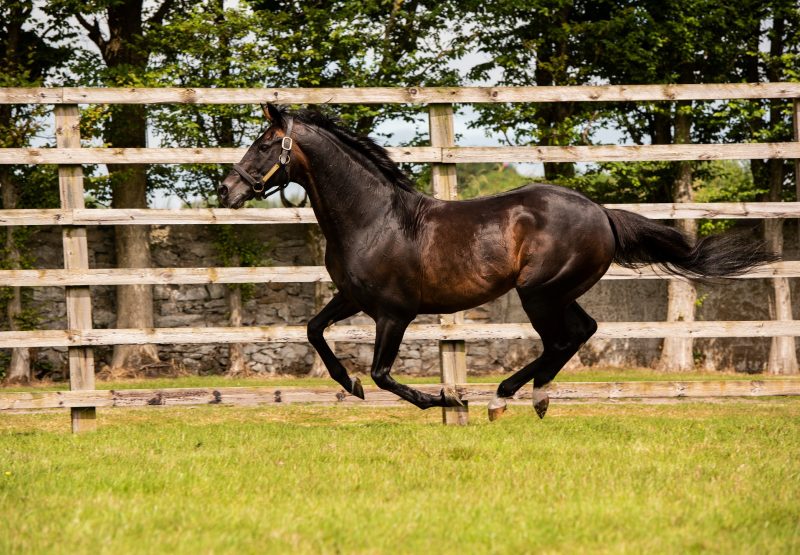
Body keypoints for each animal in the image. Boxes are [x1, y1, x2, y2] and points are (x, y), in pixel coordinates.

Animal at [217, 104, 776, 420]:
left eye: (264, 144)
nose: (226, 190)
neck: (374, 218)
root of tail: (602, 213)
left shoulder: (394, 314)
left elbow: (381, 373)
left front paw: (445, 401)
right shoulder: (353, 297)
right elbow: (314, 330)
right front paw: (347, 386)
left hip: (539, 292)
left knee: (564, 338)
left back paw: (500, 399)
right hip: (556, 293)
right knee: (581, 332)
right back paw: (534, 397)